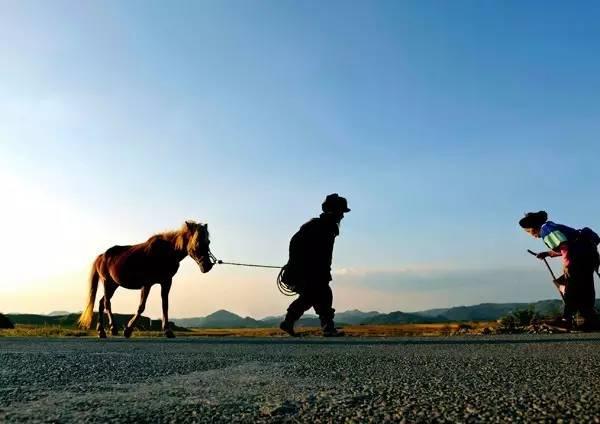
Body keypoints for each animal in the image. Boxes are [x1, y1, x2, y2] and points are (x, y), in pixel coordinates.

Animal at [77, 222, 213, 338]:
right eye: (197, 243)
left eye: (208, 242)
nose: (207, 266)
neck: (165, 252)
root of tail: (102, 256)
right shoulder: (147, 284)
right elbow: (141, 307)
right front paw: (128, 329)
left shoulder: (166, 282)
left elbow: (165, 306)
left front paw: (167, 331)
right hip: (107, 282)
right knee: (106, 303)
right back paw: (111, 329)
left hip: (114, 285)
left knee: (101, 303)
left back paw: (102, 331)